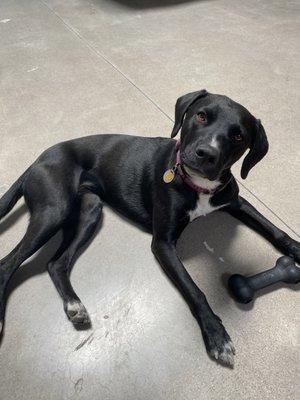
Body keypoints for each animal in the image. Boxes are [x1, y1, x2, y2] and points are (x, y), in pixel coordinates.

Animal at [0, 90, 298, 366]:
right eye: (201, 116)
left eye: (238, 137)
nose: (206, 154)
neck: (197, 185)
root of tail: (37, 160)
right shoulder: (163, 244)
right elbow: (195, 290)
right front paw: (216, 335)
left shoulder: (235, 202)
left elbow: (274, 229)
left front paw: (295, 248)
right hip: (55, 211)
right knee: (8, 263)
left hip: (90, 211)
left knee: (56, 263)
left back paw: (74, 305)